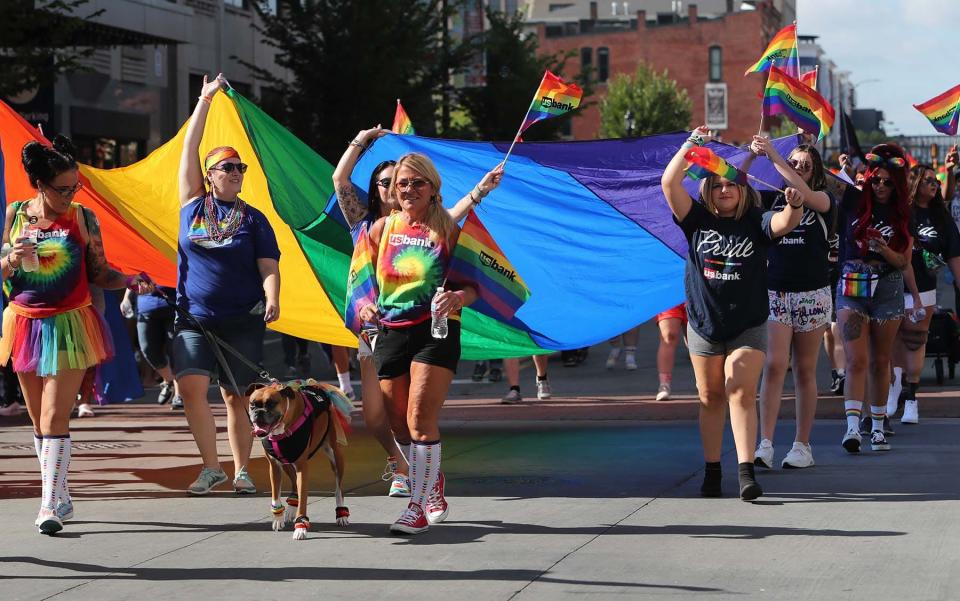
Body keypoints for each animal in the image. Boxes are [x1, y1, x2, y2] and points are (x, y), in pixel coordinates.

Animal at [248, 380, 352, 540]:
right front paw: (278, 518)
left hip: (335, 456)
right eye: (252, 404)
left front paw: (301, 526)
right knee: (293, 482)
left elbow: (303, 498)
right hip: (286, 462)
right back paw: (291, 506)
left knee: (338, 489)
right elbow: (275, 496)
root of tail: (316, 385)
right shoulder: (275, 467)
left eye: (271, 404)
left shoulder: (302, 468)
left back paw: (341, 514)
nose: (258, 412)